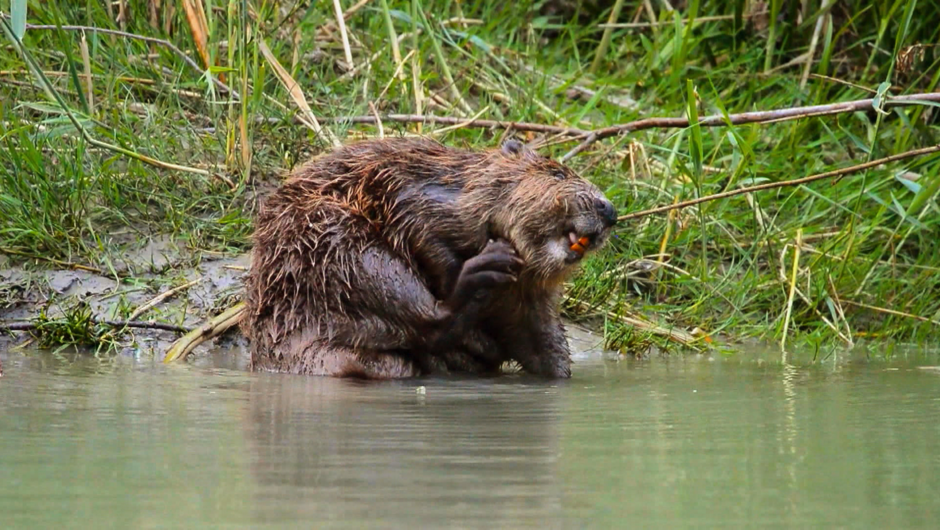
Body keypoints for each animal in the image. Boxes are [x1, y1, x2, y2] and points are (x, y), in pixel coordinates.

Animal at [244, 136, 616, 376]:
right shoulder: (423, 192)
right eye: (558, 173)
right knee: (429, 318)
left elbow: (540, 336)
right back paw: (481, 274)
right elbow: (420, 227)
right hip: (342, 245)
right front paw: (491, 261)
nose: (609, 210)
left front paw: (558, 373)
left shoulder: (531, 295)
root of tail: (280, 349)